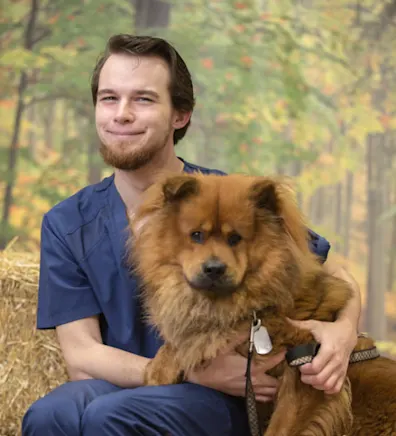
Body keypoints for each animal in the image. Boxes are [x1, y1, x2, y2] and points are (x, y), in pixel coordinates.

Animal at [129, 174, 396, 436]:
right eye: (197, 235)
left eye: (235, 238)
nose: (214, 268)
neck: (252, 309)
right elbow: (185, 340)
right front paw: (158, 369)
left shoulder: (303, 378)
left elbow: (282, 427)